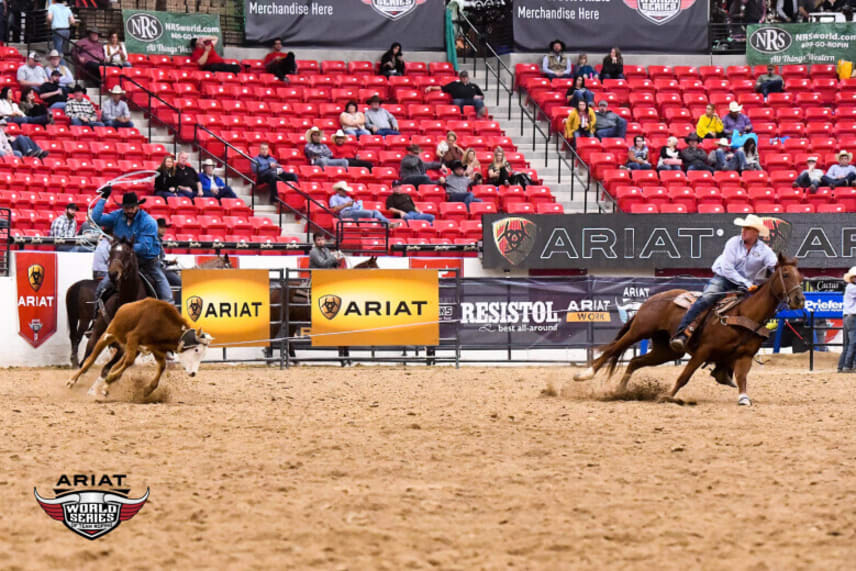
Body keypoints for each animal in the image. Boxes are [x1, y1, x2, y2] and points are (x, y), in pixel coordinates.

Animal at [572, 252, 804, 404]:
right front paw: (667, 396)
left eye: (800, 277)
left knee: (635, 361)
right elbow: (685, 376)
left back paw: (621, 391)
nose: (799, 300)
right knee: (613, 349)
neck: (743, 314)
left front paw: (743, 398)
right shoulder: (703, 351)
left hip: (666, 350)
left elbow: (741, 378)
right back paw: (585, 374)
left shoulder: (745, 355)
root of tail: (653, 298)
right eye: (785, 274)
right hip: (639, 331)